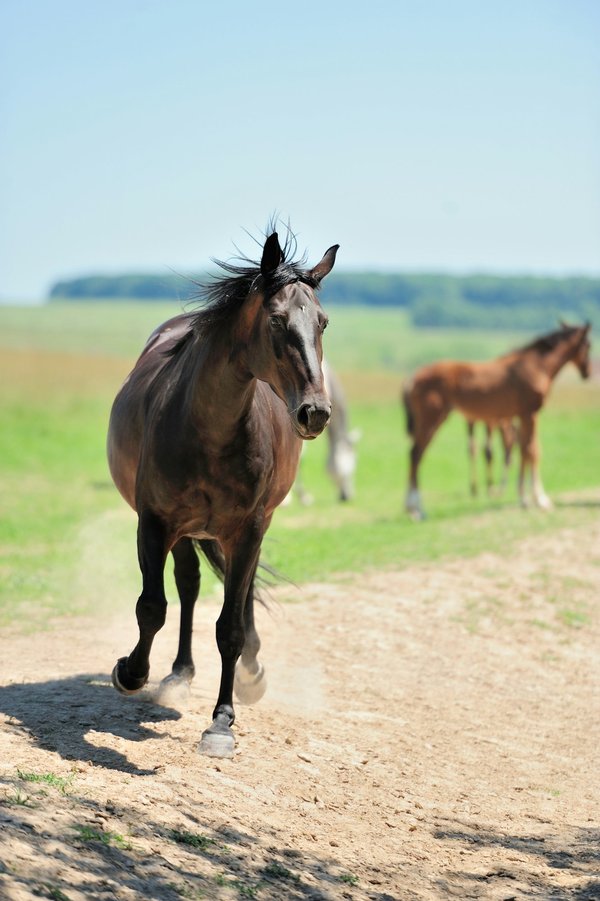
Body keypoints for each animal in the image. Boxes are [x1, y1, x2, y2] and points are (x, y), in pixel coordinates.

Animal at [107, 229, 339, 758]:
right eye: (276, 320)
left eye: (322, 322)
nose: (315, 412)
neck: (209, 429)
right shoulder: (154, 522)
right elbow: (152, 606)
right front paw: (131, 672)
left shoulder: (248, 528)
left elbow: (230, 626)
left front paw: (221, 722)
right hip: (187, 531)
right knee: (188, 586)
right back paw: (177, 674)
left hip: (245, 528)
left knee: (240, 591)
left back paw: (250, 671)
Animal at [403, 322, 591, 519]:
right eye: (589, 345)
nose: (588, 372)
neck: (536, 366)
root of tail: (412, 378)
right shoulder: (530, 414)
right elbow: (532, 451)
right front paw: (540, 499)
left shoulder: (521, 416)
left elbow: (524, 451)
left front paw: (524, 499)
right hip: (432, 419)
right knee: (416, 454)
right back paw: (416, 509)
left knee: (415, 454)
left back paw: (411, 507)